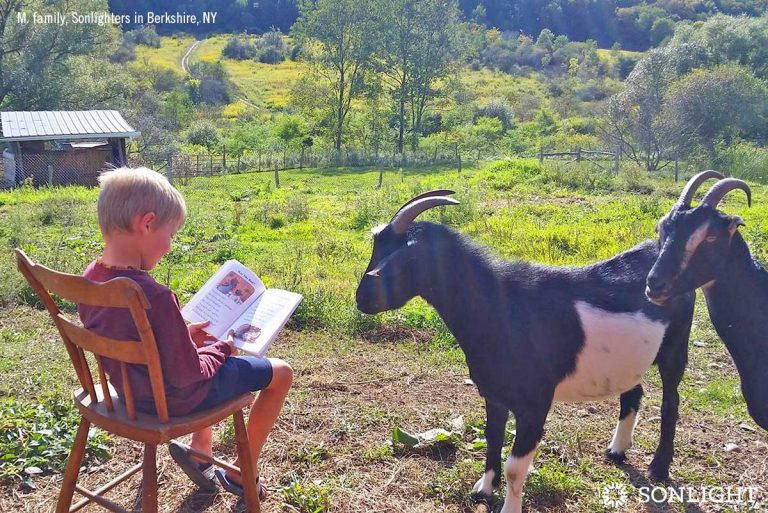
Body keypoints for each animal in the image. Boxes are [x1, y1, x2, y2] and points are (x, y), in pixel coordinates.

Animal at [354, 192, 696, 512]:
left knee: (671, 400)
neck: (502, 310)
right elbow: (492, 438)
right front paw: (483, 489)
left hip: (675, 345)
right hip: (627, 361)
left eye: (404, 259)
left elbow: (515, 467)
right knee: (633, 392)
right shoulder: (494, 394)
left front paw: (507, 505)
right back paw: (616, 451)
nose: (362, 299)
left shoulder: (534, 403)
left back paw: (658, 468)